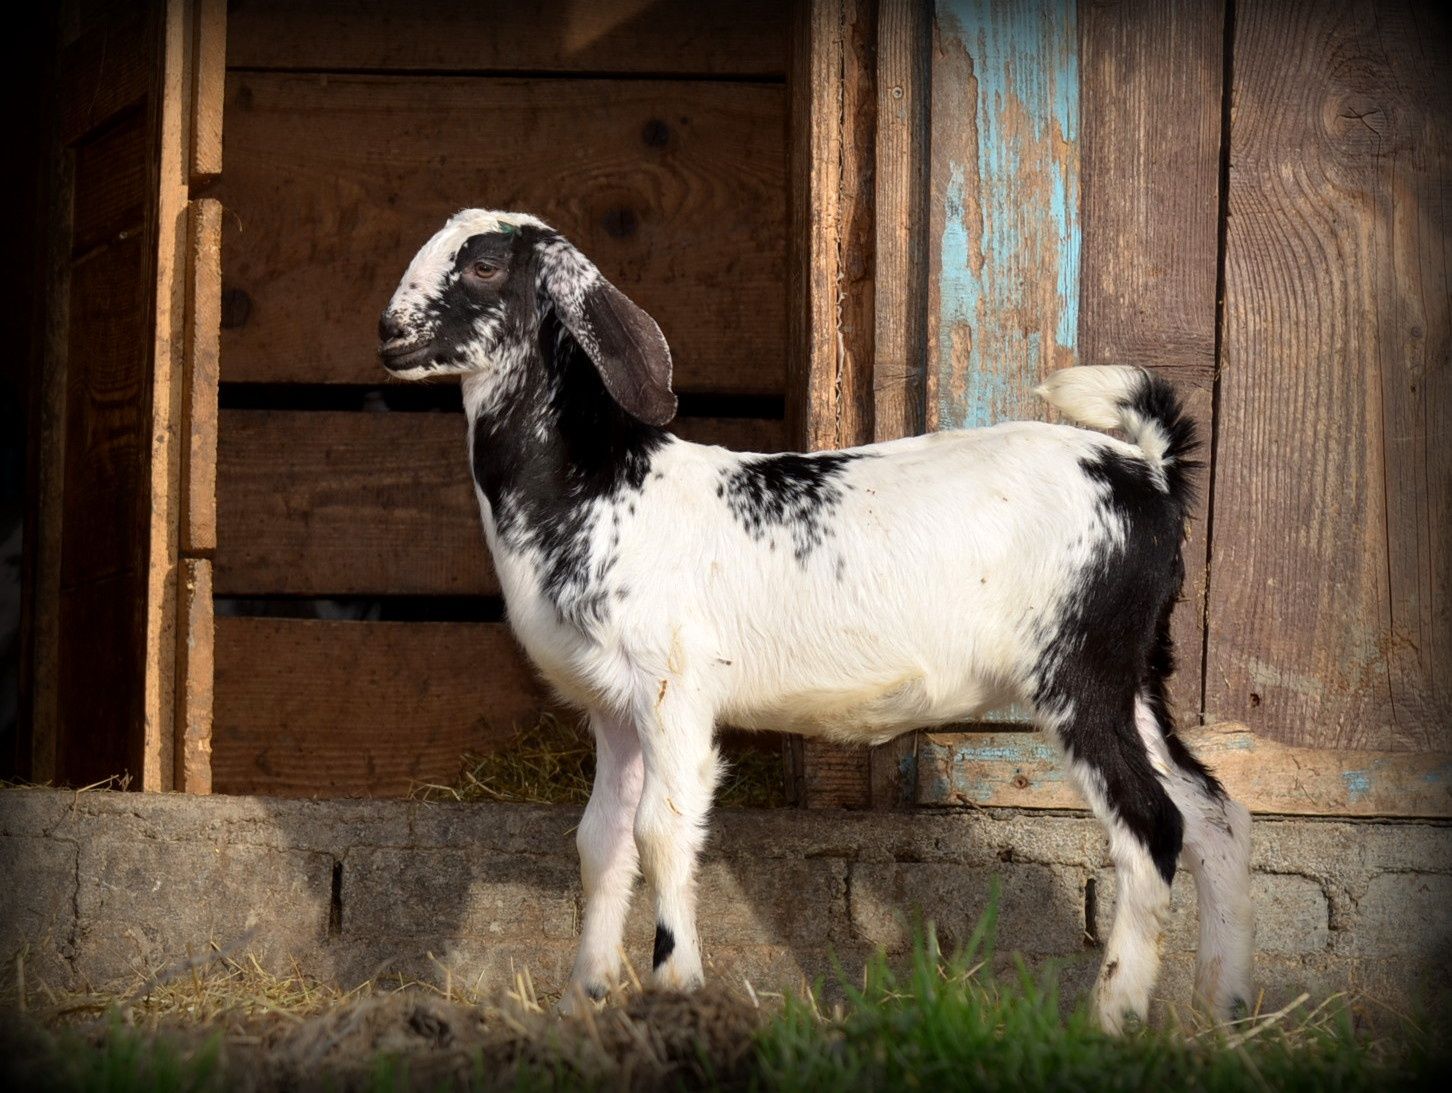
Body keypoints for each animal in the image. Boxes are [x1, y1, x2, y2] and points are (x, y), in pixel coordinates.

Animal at [380, 206, 1254, 1033]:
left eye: (486, 263)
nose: (388, 335)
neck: (603, 487)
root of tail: (1148, 472)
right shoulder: (614, 707)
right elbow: (602, 843)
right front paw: (580, 1004)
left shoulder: (674, 688)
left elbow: (663, 832)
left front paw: (677, 988)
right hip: (1137, 672)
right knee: (1214, 813)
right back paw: (1223, 1012)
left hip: (1083, 668)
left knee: (1154, 825)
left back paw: (1113, 1018)